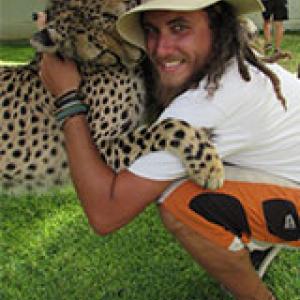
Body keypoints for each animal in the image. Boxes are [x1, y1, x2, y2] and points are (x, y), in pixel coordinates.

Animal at [0, 0, 223, 192]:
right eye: (103, 53)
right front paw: (208, 165)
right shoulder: (100, 149)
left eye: (115, 20)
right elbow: (166, 127)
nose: (139, 56)